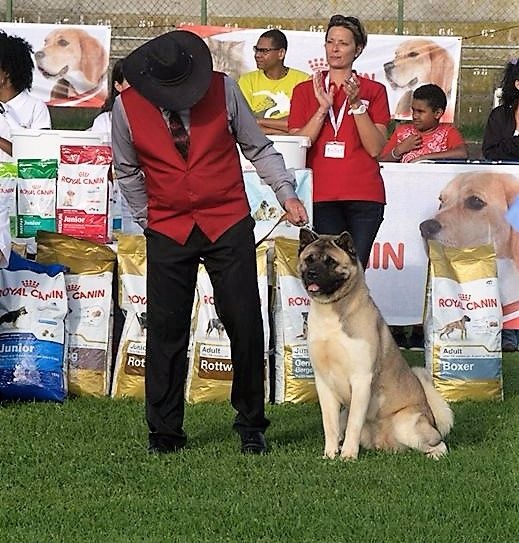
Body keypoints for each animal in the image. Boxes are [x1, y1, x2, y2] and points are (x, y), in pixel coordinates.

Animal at [298, 228, 452, 460]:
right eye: (309, 259)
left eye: (331, 262)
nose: (312, 273)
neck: (331, 312)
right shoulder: (323, 382)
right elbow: (329, 424)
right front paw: (330, 454)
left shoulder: (361, 378)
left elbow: (354, 424)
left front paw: (347, 456)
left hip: (406, 425)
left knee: (439, 444)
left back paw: (433, 456)